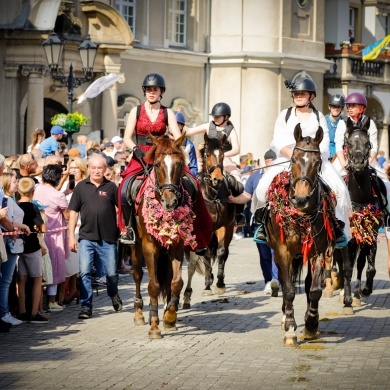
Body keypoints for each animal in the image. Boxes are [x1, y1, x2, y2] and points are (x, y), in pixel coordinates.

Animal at [128, 133, 195, 338]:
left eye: (180, 164)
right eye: (157, 165)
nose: (169, 201)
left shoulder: (176, 246)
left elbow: (176, 283)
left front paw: (170, 319)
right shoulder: (150, 247)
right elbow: (153, 285)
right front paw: (154, 326)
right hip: (135, 248)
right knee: (137, 275)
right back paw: (139, 313)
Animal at [182, 134, 235, 308]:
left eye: (223, 155)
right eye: (206, 154)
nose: (217, 179)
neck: (212, 196)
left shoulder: (224, 226)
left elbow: (221, 252)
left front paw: (219, 284)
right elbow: (205, 254)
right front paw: (207, 285)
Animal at [266, 123, 354, 346]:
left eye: (317, 162)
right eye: (293, 159)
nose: (300, 199)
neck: (301, 217)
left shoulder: (319, 251)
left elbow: (314, 290)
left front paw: (311, 324)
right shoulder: (283, 252)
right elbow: (288, 289)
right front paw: (290, 328)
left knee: (307, 286)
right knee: (284, 281)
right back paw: (285, 317)